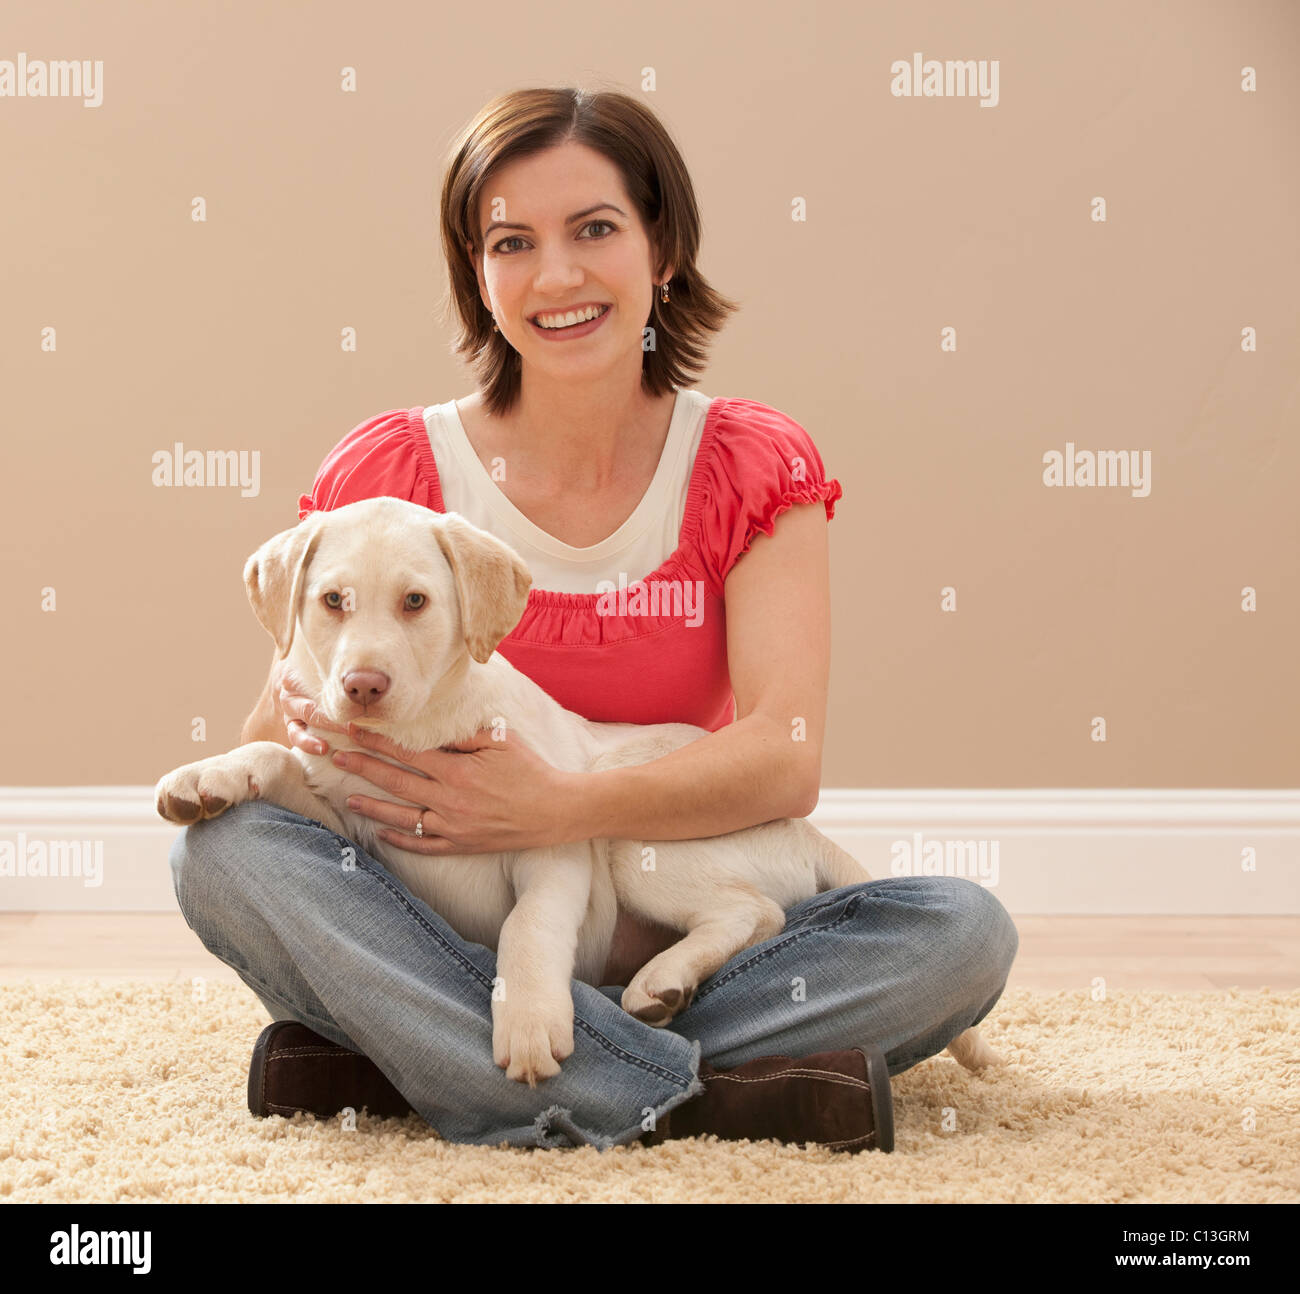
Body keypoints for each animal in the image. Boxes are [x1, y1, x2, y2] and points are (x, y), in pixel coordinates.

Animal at [157, 496, 998, 1082]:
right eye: (332, 602)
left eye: (415, 603)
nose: (363, 686)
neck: (420, 733)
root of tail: (802, 827)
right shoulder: (353, 824)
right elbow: (278, 758)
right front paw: (209, 776)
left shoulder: (549, 843)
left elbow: (528, 929)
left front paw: (528, 1022)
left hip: (630, 826)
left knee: (754, 912)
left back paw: (662, 981)